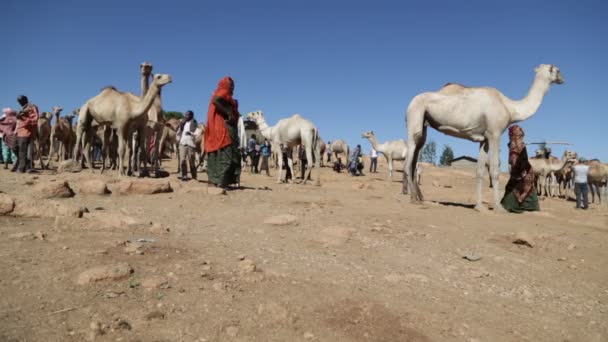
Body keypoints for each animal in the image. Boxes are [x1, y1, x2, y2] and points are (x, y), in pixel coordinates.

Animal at [404, 62, 564, 210]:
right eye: (557, 70)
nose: (563, 78)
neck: (510, 108)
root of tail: (410, 103)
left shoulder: (484, 139)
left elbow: (480, 171)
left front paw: (479, 206)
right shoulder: (495, 134)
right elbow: (494, 169)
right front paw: (499, 208)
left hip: (424, 124)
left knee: (416, 155)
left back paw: (419, 197)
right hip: (415, 116)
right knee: (408, 160)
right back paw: (413, 199)